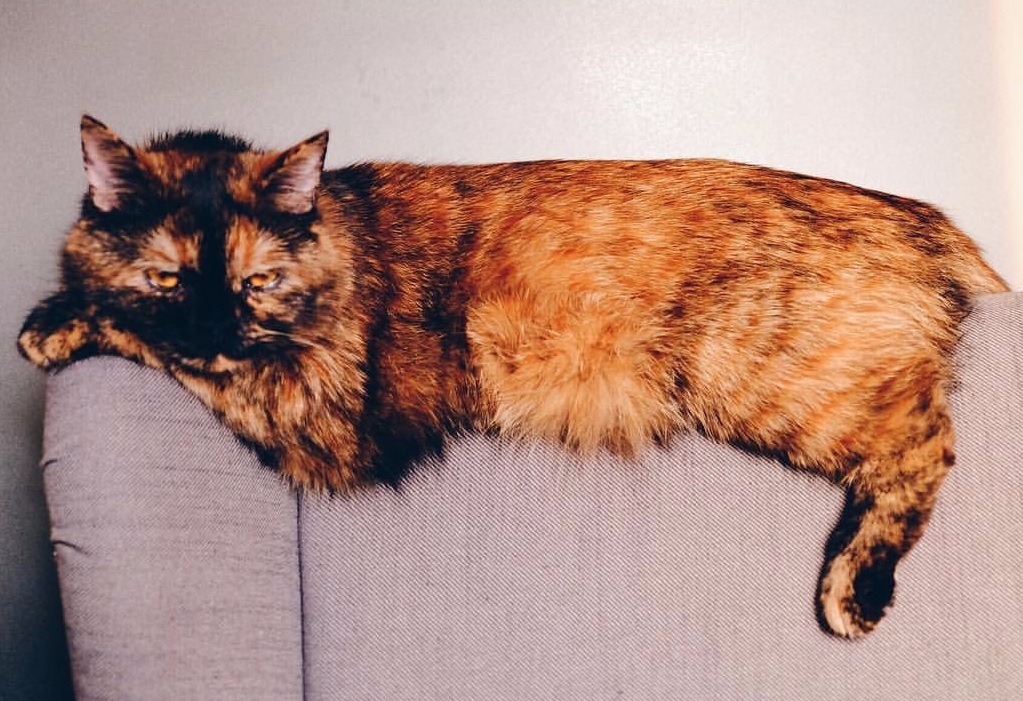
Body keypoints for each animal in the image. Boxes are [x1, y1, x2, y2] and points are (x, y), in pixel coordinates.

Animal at [19, 116, 1008, 639]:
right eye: (169, 277)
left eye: (257, 281)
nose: (217, 325)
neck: (343, 240)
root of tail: (920, 218)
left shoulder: (325, 415)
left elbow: (144, 341)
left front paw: (51, 323)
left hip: (771, 380)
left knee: (927, 442)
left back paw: (856, 591)